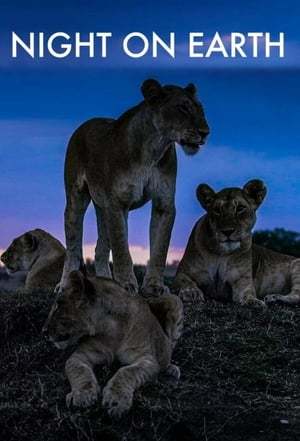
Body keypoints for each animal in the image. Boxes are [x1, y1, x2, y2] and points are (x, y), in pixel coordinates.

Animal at [42, 270, 183, 418]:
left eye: (58, 306)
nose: (43, 331)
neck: (111, 330)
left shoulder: (147, 358)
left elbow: (126, 371)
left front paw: (116, 400)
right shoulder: (81, 355)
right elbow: (76, 368)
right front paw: (83, 395)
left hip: (174, 301)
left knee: (171, 345)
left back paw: (171, 370)